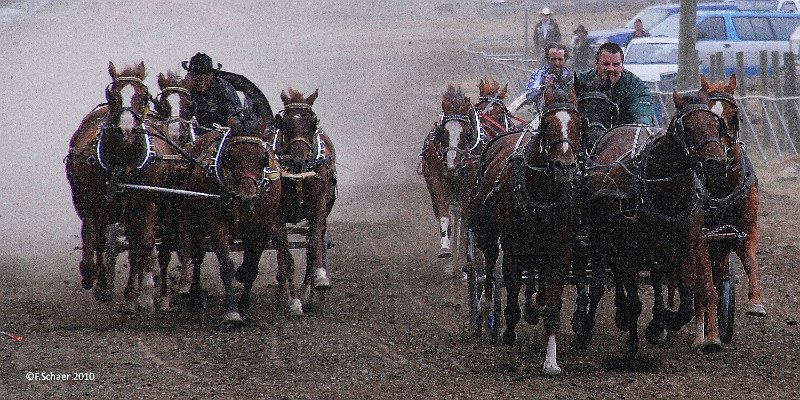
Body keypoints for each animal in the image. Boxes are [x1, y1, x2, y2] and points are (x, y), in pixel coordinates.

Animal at [65, 61, 180, 314]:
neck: (121, 164)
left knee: (139, 247)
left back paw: (135, 293)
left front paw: (142, 294)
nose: (126, 130)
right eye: (112, 95)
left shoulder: (144, 208)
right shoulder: (91, 207)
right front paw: (97, 282)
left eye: (143, 96)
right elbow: (94, 241)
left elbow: (143, 245)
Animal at [276, 87, 338, 310]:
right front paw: (293, 300)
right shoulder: (277, 213)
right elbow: (285, 253)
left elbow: (313, 245)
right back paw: (282, 289)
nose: (299, 158)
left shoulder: (318, 207)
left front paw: (313, 289)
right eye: (284, 123)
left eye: (313, 122)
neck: (299, 174)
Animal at [422, 85, 478, 276]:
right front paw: (446, 252)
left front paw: (464, 261)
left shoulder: (468, 191)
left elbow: (466, 221)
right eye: (442, 132)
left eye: (467, 133)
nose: (452, 165)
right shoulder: (439, 184)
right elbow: (445, 215)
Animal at [468, 82, 580, 376]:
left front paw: (551, 361)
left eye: (578, 123)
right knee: (489, 263)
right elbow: (510, 286)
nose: (564, 166)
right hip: (486, 230)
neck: (542, 193)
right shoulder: (513, 245)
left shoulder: (561, 250)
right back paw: (485, 305)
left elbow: (552, 306)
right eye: (548, 124)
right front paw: (508, 334)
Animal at [580, 90, 724, 354]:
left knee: (655, 275)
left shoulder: (686, 242)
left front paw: (663, 320)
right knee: (599, 280)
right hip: (601, 233)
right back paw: (587, 327)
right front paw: (635, 334)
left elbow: (686, 300)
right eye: (688, 127)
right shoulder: (631, 246)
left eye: (717, 124)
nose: (717, 163)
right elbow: (632, 295)